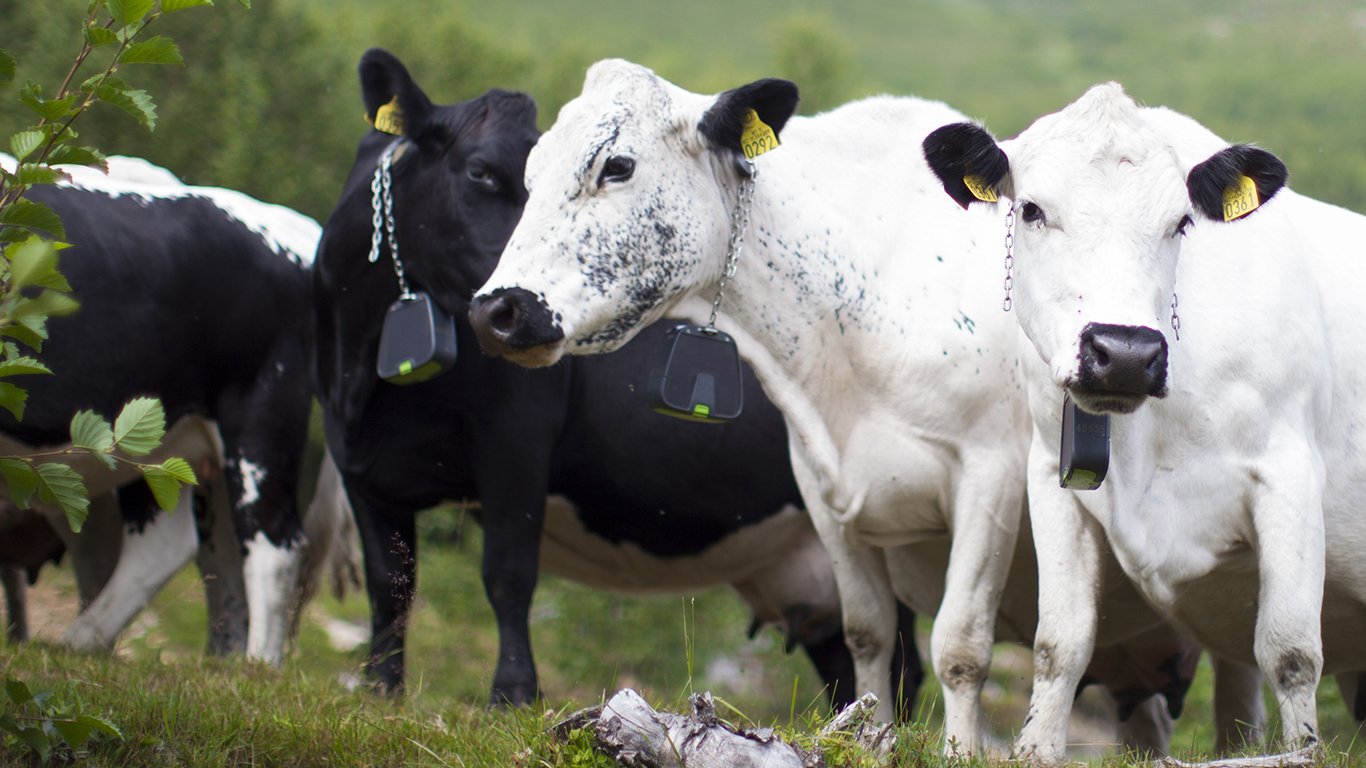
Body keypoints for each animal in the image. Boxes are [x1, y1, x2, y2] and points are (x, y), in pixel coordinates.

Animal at [0, 152, 321, 661]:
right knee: (167, 546)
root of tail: (290, 226)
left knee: (275, 545)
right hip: (153, 435)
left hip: (264, 414)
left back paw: (257, 665)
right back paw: (79, 643)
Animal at [314, 46, 923, 705]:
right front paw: (381, 688)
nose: (500, 310)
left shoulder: (514, 445)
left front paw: (513, 696)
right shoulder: (360, 470)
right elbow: (389, 583)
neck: (362, 374)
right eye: (483, 173)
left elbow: (506, 574)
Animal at [467, 59, 1229, 754]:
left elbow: (961, 646)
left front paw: (957, 751)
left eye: (616, 166)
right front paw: (872, 739)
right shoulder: (824, 490)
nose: (498, 310)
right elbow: (867, 638)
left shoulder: (989, 475)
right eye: (528, 176)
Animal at [917, 82, 1366, 754]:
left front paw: (1301, 753)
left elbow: (1290, 651)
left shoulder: (1288, 474)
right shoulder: (1051, 477)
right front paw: (1036, 749)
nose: (1125, 353)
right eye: (1032, 210)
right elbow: (1060, 642)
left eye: (1180, 222)